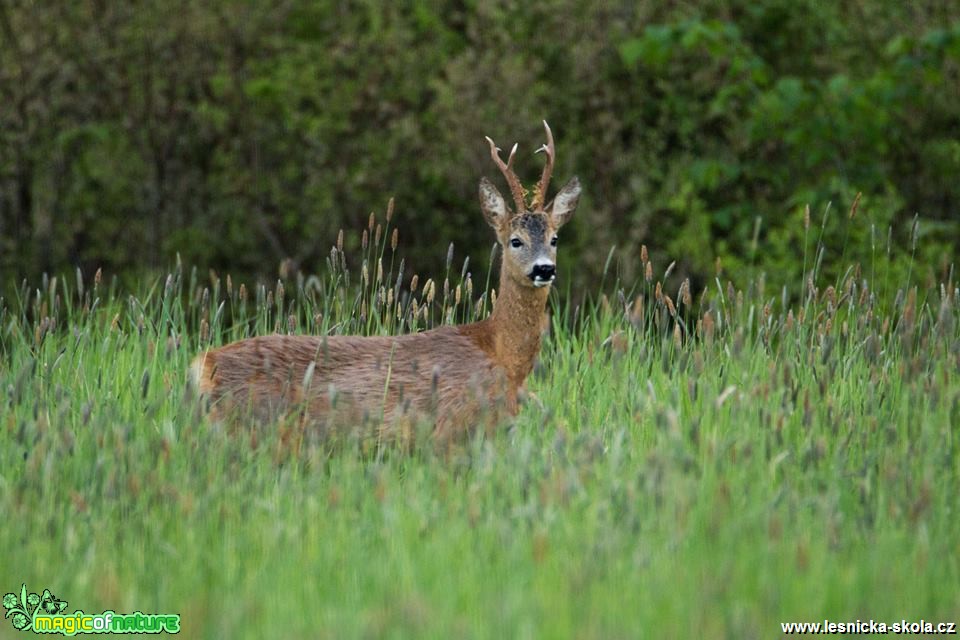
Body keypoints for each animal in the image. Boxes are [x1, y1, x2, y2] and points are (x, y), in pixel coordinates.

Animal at [188, 121, 576, 440]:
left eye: (555, 238)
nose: (544, 269)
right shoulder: (454, 425)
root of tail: (204, 364)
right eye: (515, 241)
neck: (500, 353)